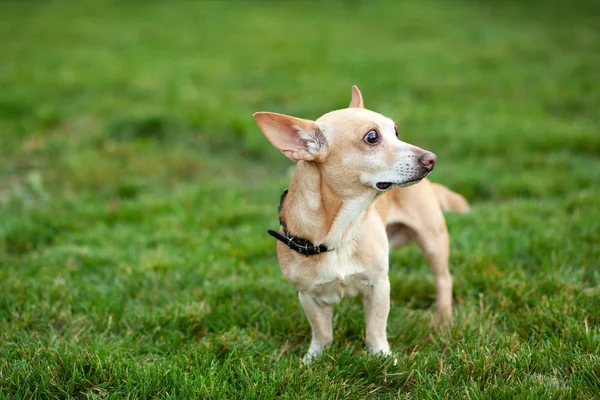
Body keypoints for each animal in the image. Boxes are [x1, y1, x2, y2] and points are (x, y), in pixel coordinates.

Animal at [253, 86, 468, 362]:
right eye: (372, 137)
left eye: (396, 132)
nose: (431, 158)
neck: (341, 230)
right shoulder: (308, 296)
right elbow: (322, 332)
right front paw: (314, 358)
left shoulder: (379, 286)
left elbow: (375, 327)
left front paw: (383, 357)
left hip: (433, 240)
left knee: (443, 280)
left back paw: (444, 319)